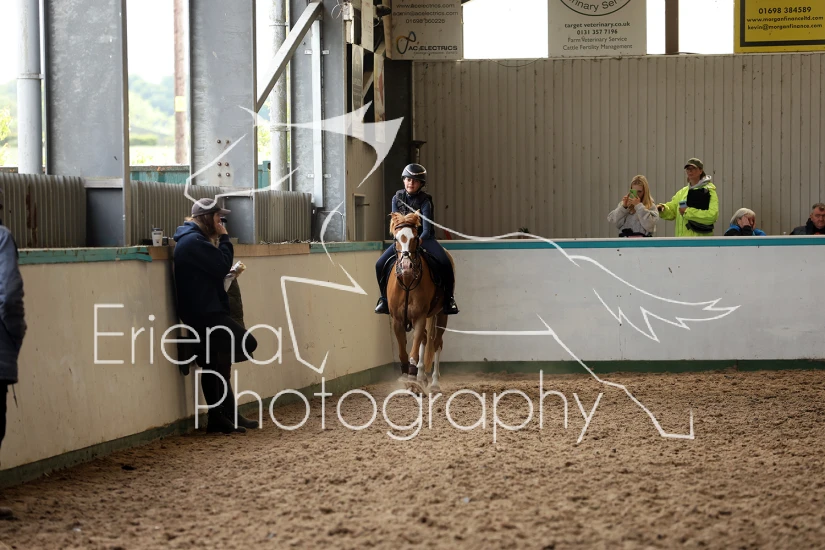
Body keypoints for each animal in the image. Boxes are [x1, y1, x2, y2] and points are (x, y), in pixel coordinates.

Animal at [386, 211, 453, 394]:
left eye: (415, 237)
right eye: (396, 238)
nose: (406, 265)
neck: (408, 281)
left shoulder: (420, 318)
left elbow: (414, 351)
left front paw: (411, 379)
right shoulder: (397, 320)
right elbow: (403, 352)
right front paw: (406, 377)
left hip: (442, 314)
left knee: (437, 343)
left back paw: (434, 383)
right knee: (424, 339)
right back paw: (421, 376)